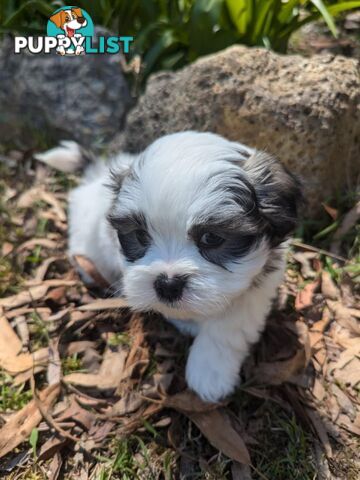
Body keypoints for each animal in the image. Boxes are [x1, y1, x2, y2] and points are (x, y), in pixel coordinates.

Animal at [36, 130, 300, 402]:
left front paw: (210, 370)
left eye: (211, 238)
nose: (168, 285)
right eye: (141, 236)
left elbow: (230, 326)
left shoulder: (259, 284)